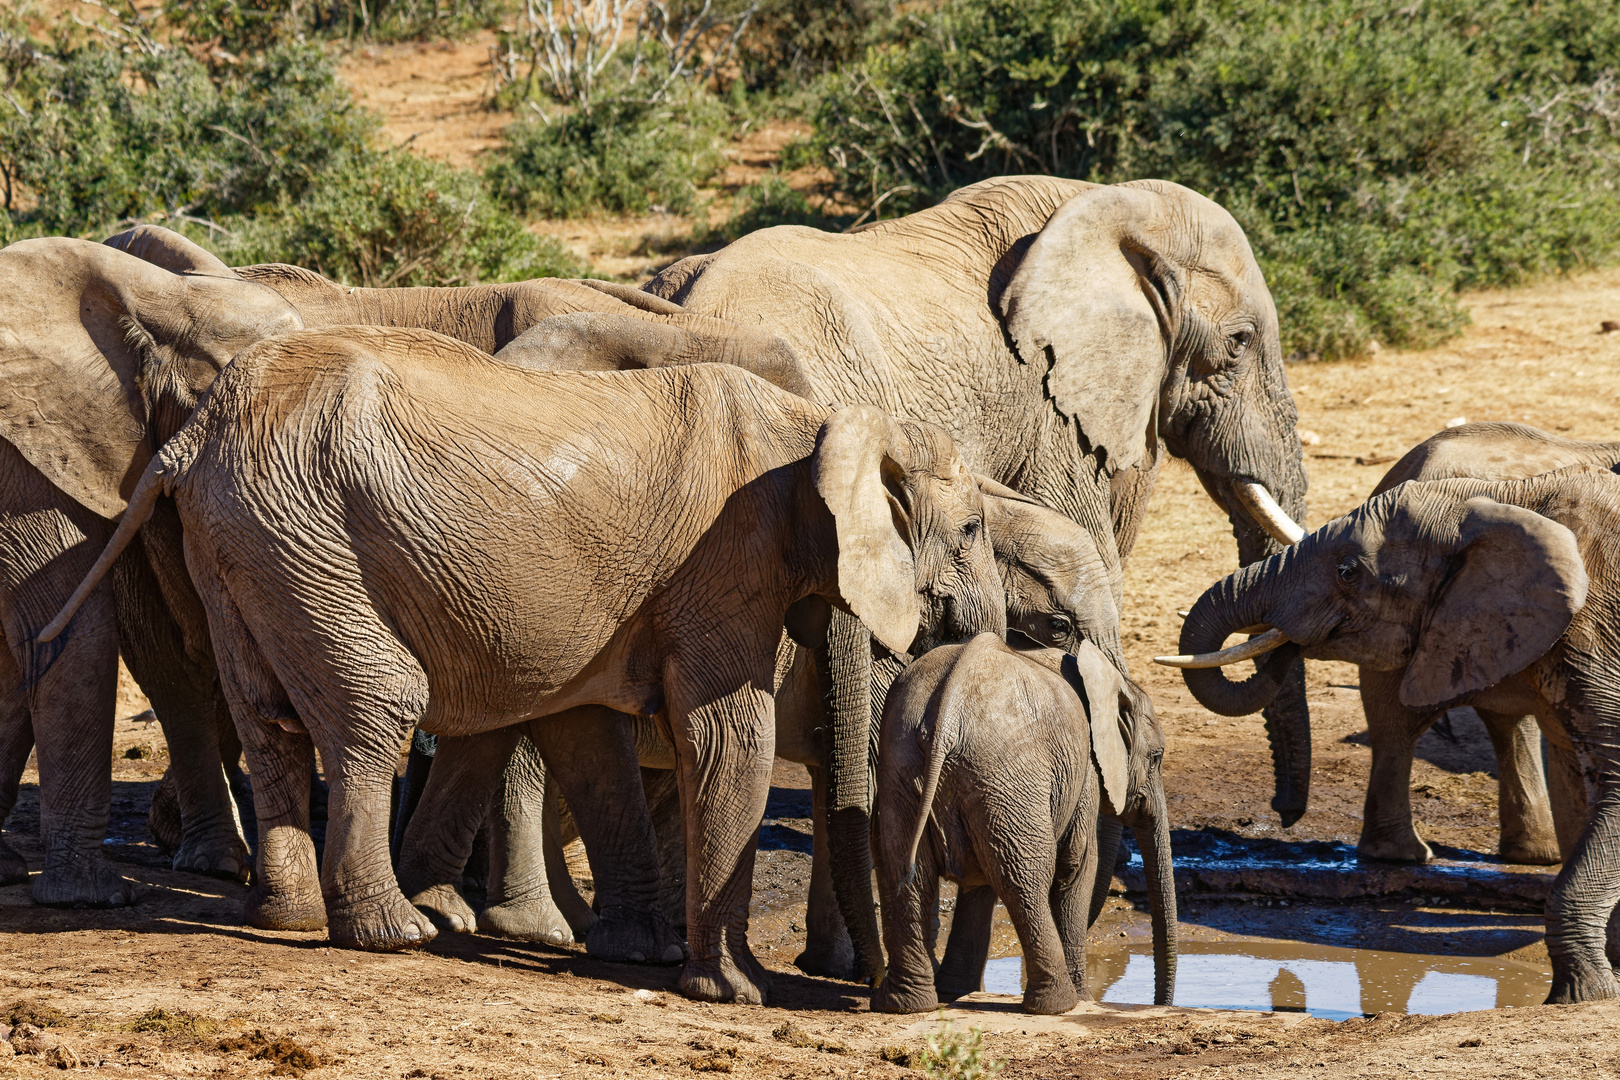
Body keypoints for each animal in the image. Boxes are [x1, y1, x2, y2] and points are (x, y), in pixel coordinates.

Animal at [874, 634, 1179, 1016]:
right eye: (1156, 757)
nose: (1160, 1005)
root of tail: (945, 718)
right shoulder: (1085, 771)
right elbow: (1077, 866)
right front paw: (1084, 999)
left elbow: (980, 881)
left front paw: (956, 990)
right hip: (1007, 776)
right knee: (1026, 875)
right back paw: (1059, 1005)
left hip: (909, 767)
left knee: (904, 868)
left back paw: (907, 1003)